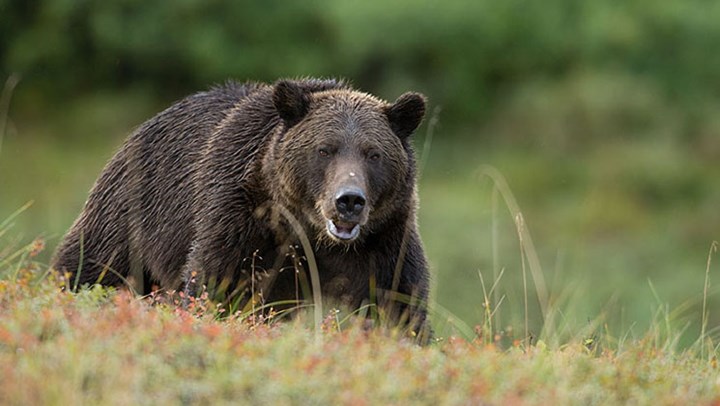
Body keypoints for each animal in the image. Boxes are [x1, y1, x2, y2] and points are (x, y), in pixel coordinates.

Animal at [54, 77, 434, 338]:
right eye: (325, 149)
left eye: (373, 154)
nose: (349, 200)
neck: (310, 233)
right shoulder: (240, 219)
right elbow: (215, 285)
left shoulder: (383, 243)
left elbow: (399, 305)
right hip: (131, 213)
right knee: (92, 265)